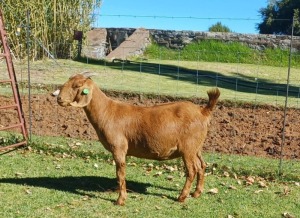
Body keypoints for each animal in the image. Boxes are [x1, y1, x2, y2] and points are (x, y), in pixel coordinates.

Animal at [56, 72, 220, 206]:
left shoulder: (119, 148)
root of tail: (203, 111)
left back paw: (181, 197)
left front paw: (120, 200)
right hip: (196, 147)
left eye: (76, 86)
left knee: (192, 170)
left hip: (188, 148)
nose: (59, 99)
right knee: (202, 165)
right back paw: (196, 193)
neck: (107, 112)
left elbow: (120, 173)